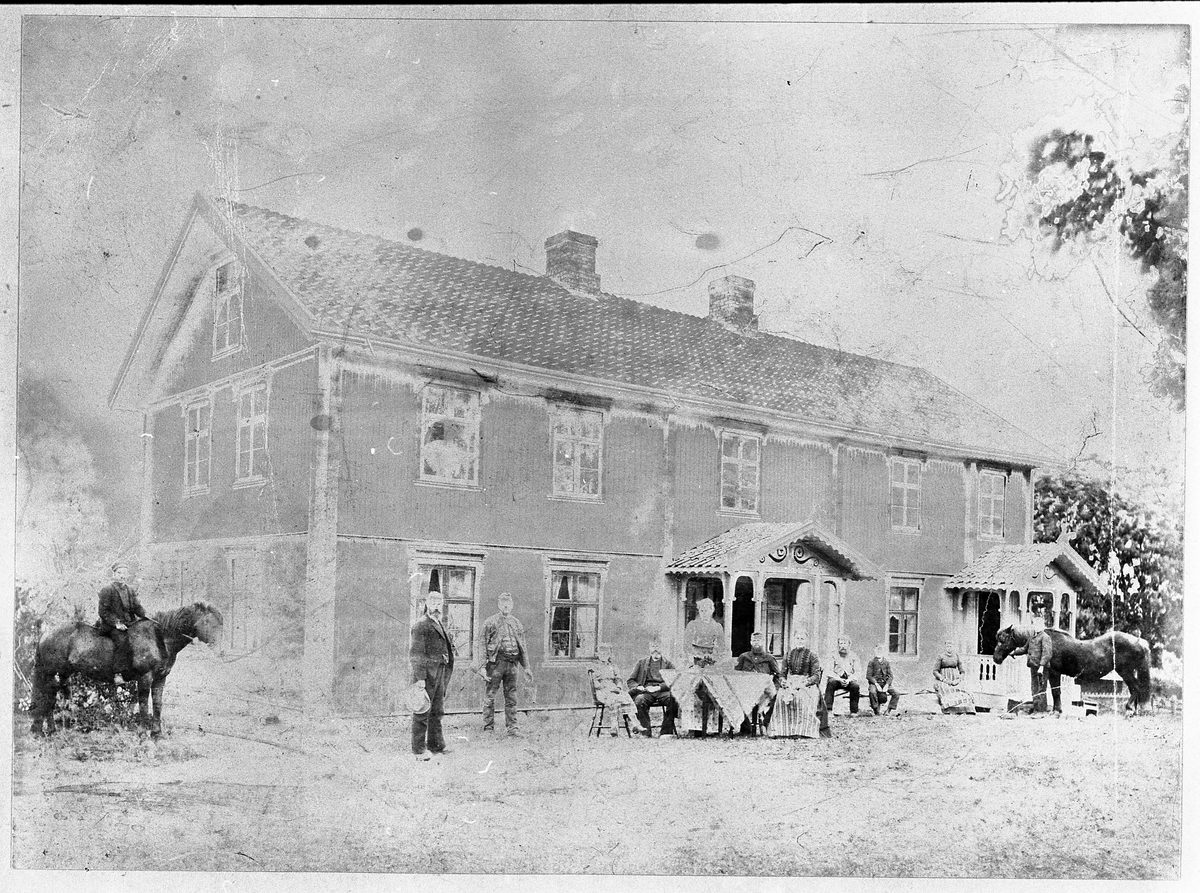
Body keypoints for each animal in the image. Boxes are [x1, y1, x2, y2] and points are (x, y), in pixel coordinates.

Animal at [29, 600, 223, 739]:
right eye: (209, 622)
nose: (220, 650)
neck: (159, 637)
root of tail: (46, 633)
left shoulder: (160, 678)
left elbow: (157, 704)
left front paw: (157, 734)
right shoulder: (145, 677)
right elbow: (144, 704)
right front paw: (144, 732)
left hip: (63, 674)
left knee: (53, 698)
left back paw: (53, 730)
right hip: (51, 673)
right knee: (47, 698)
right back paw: (45, 731)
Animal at [993, 628, 1152, 720]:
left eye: (1003, 640)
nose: (996, 658)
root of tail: (1140, 641)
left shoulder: (1054, 673)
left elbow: (1056, 692)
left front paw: (1056, 712)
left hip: (1125, 671)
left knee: (1135, 688)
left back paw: (1129, 711)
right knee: (1135, 689)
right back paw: (1134, 712)